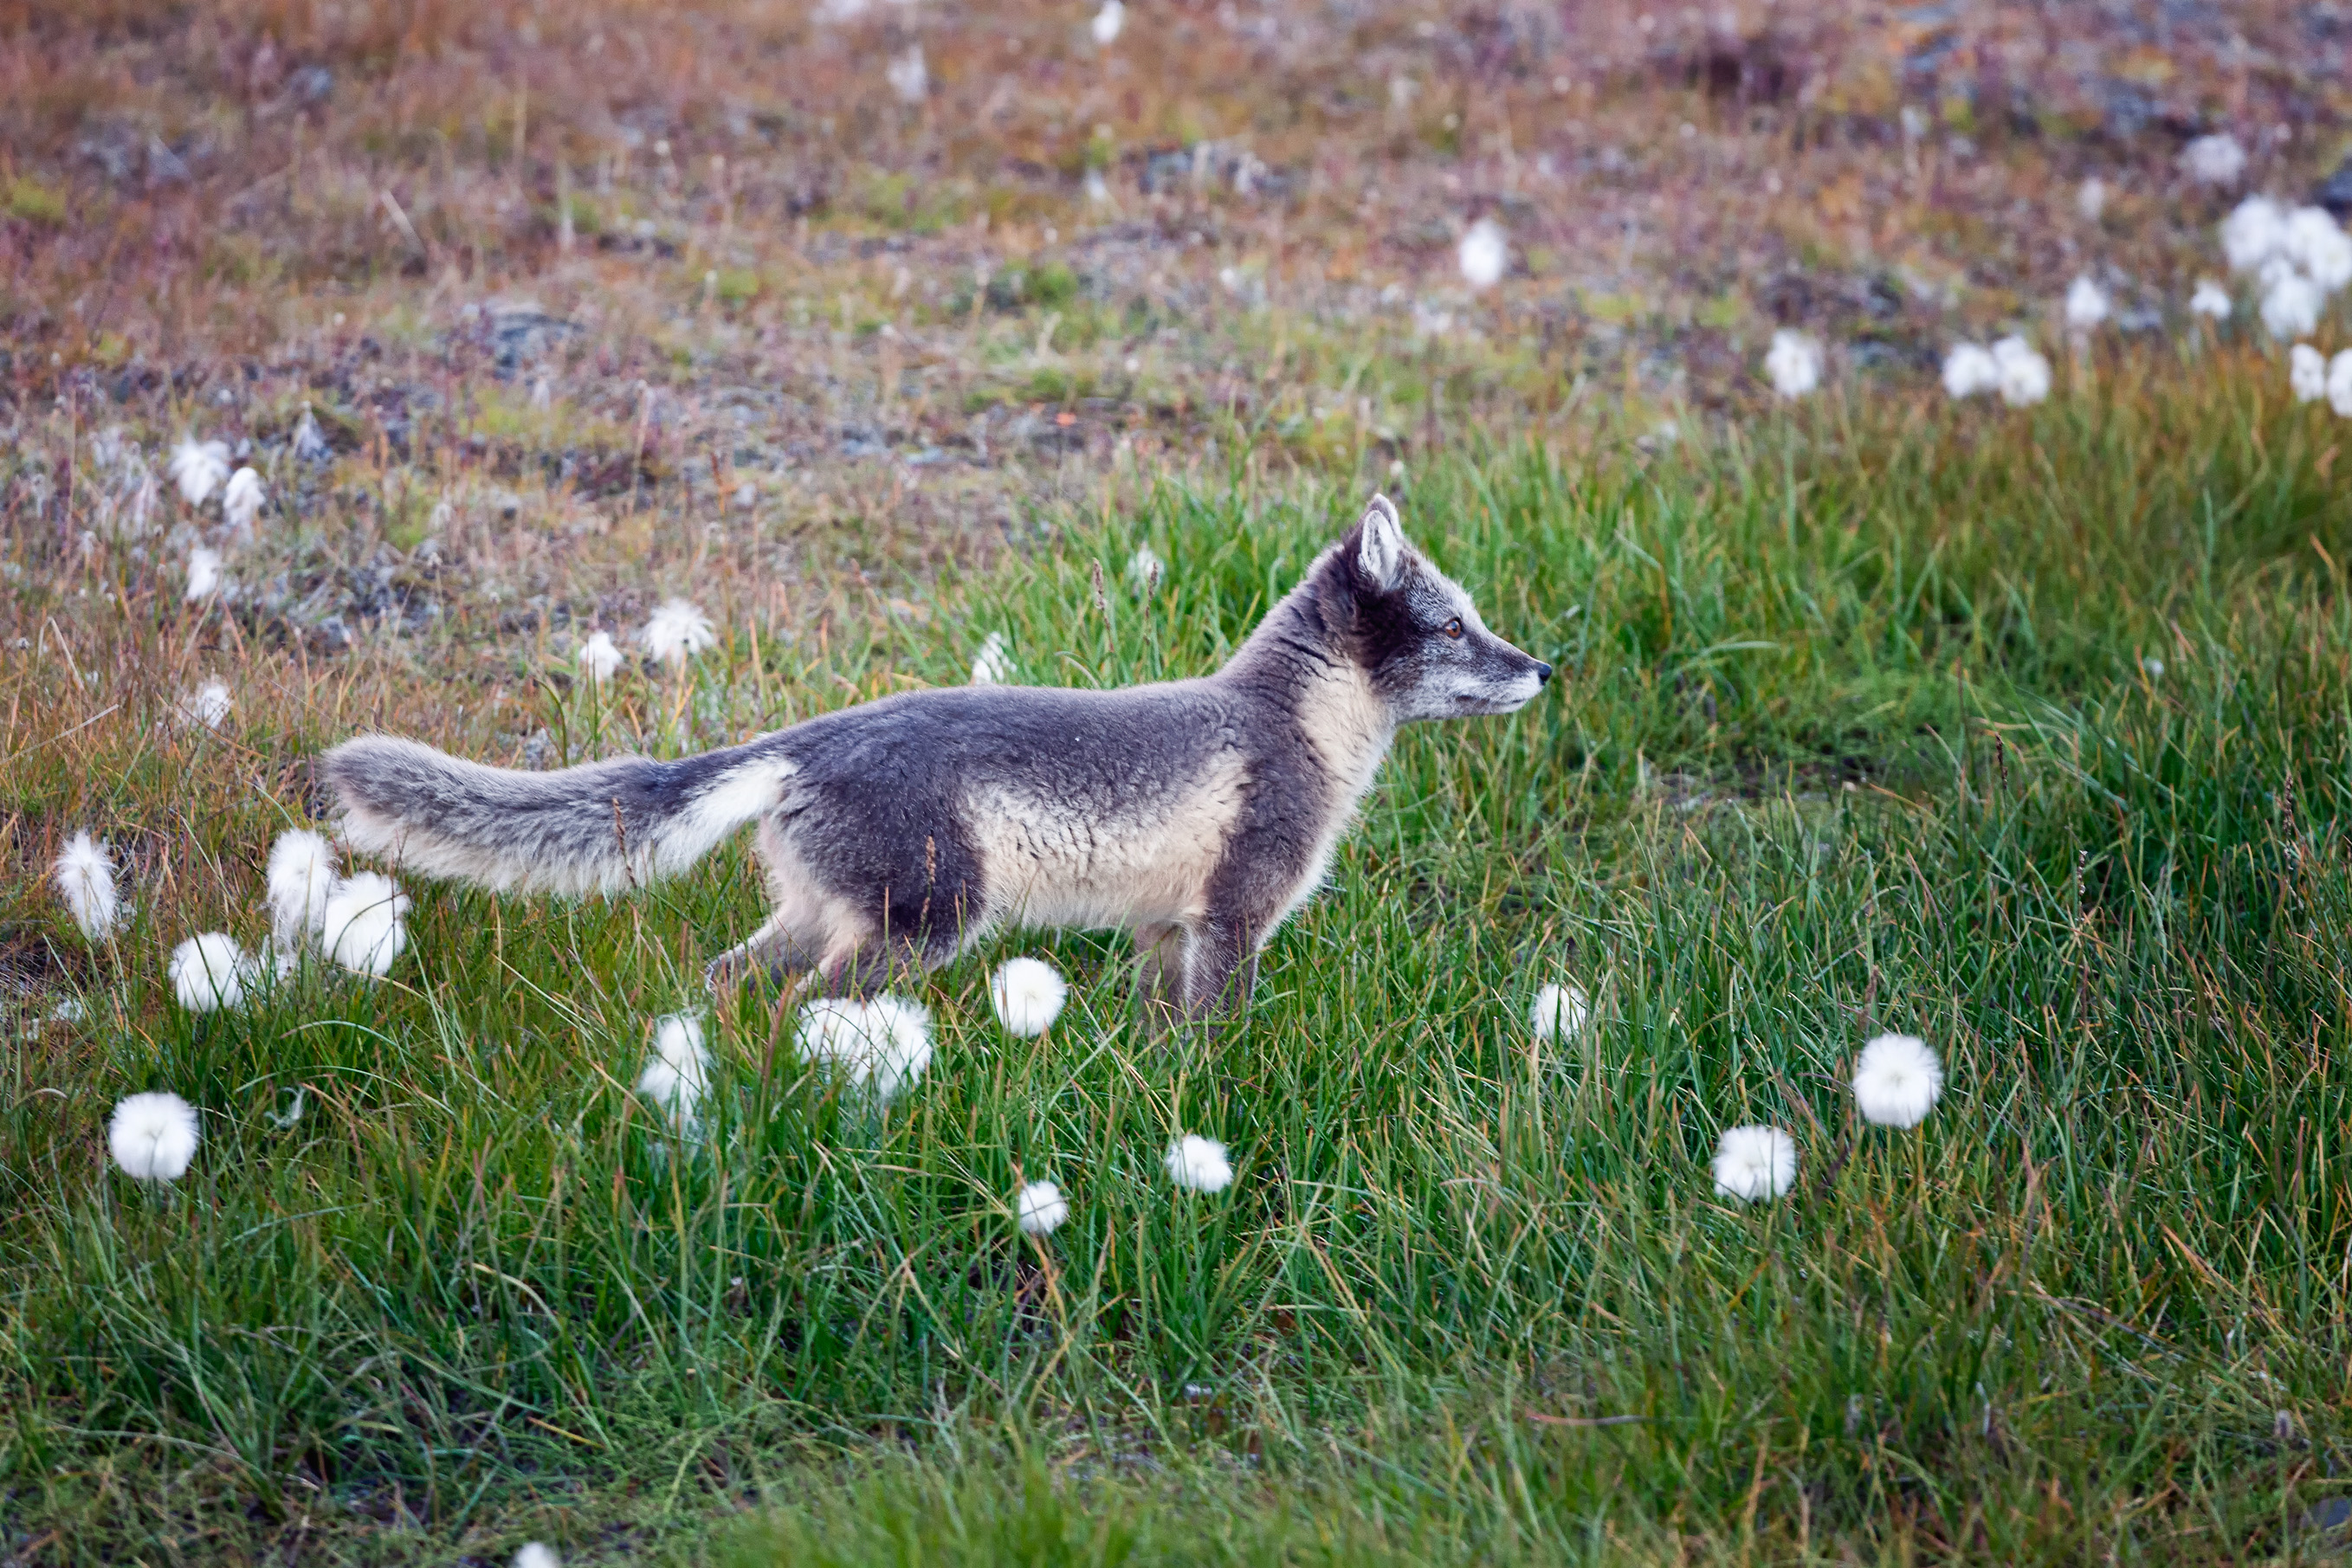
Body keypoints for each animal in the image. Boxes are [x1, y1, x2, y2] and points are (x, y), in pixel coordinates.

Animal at [322, 495, 1552, 1024]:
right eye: (1454, 627)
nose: (1543, 667)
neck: (1298, 730)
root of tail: (802, 739)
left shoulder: (1169, 926)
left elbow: (1156, 1033)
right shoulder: (1235, 913)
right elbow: (1216, 1037)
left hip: (822, 911)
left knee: (727, 977)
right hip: (927, 921)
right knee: (802, 1002)